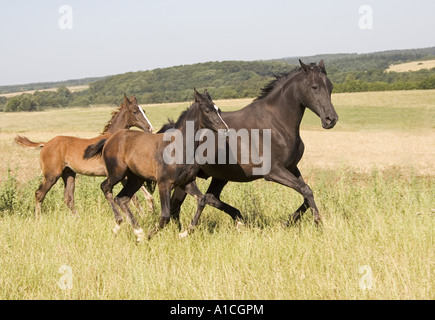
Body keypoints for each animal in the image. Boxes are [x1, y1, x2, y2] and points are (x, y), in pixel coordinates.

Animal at [162, 60, 338, 235]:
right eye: (314, 87)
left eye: (330, 86)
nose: (331, 119)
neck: (276, 123)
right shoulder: (274, 171)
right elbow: (306, 190)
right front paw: (318, 223)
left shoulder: (292, 168)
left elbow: (307, 194)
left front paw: (288, 221)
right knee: (180, 205)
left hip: (218, 176)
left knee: (206, 198)